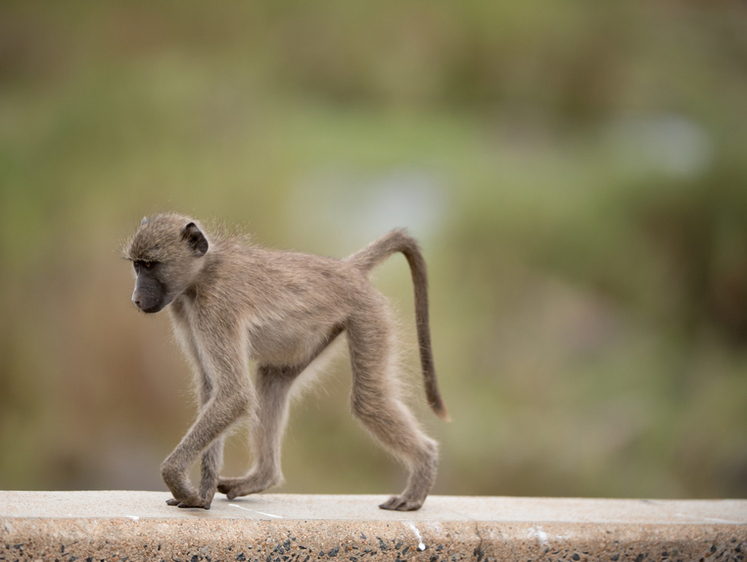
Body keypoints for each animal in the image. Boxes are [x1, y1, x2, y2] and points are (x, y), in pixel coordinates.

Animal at [125, 212, 448, 510]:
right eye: (137, 265)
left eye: (151, 265)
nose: (136, 300)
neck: (203, 273)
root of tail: (347, 268)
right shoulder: (183, 308)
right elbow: (213, 390)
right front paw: (203, 492)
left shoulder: (216, 308)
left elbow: (233, 395)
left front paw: (176, 479)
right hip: (316, 333)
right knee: (273, 380)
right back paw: (262, 478)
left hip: (368, 315)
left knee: (369, 402)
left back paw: (422, 472)